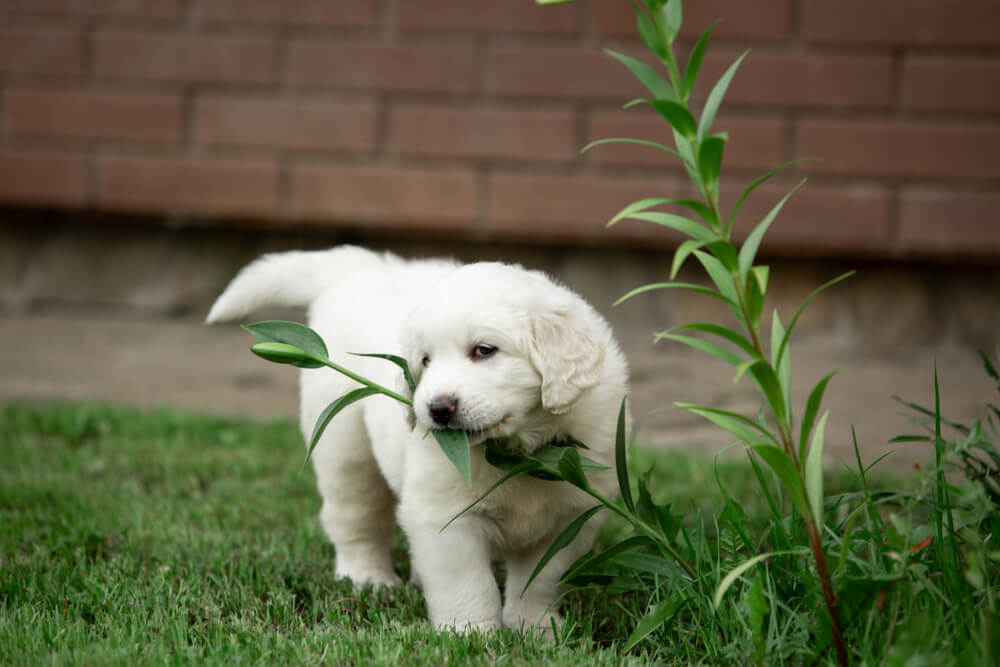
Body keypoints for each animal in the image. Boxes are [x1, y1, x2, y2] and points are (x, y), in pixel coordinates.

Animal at [207, 248, 628, 636]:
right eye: (425, 360)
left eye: (484, 350)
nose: (437, 409)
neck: (515, 453)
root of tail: (359, 269)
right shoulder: (445, 516)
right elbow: (467, 583)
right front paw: (470, 635)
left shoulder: (572, 517)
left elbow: (540, 581)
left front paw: (536, 630)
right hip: (344, 445)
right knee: (355, 517)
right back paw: (367, 577)